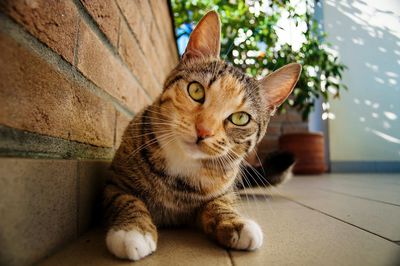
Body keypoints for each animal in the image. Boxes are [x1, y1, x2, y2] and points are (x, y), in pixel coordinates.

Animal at [103, 10, 300, 262]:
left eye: (240, 118)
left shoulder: (224, 191)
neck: (182, 167)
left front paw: (236, 223)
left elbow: (219, 202)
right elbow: (126, 199)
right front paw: (133, 231)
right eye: (196, 90)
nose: (203, 131)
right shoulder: (114, 181)